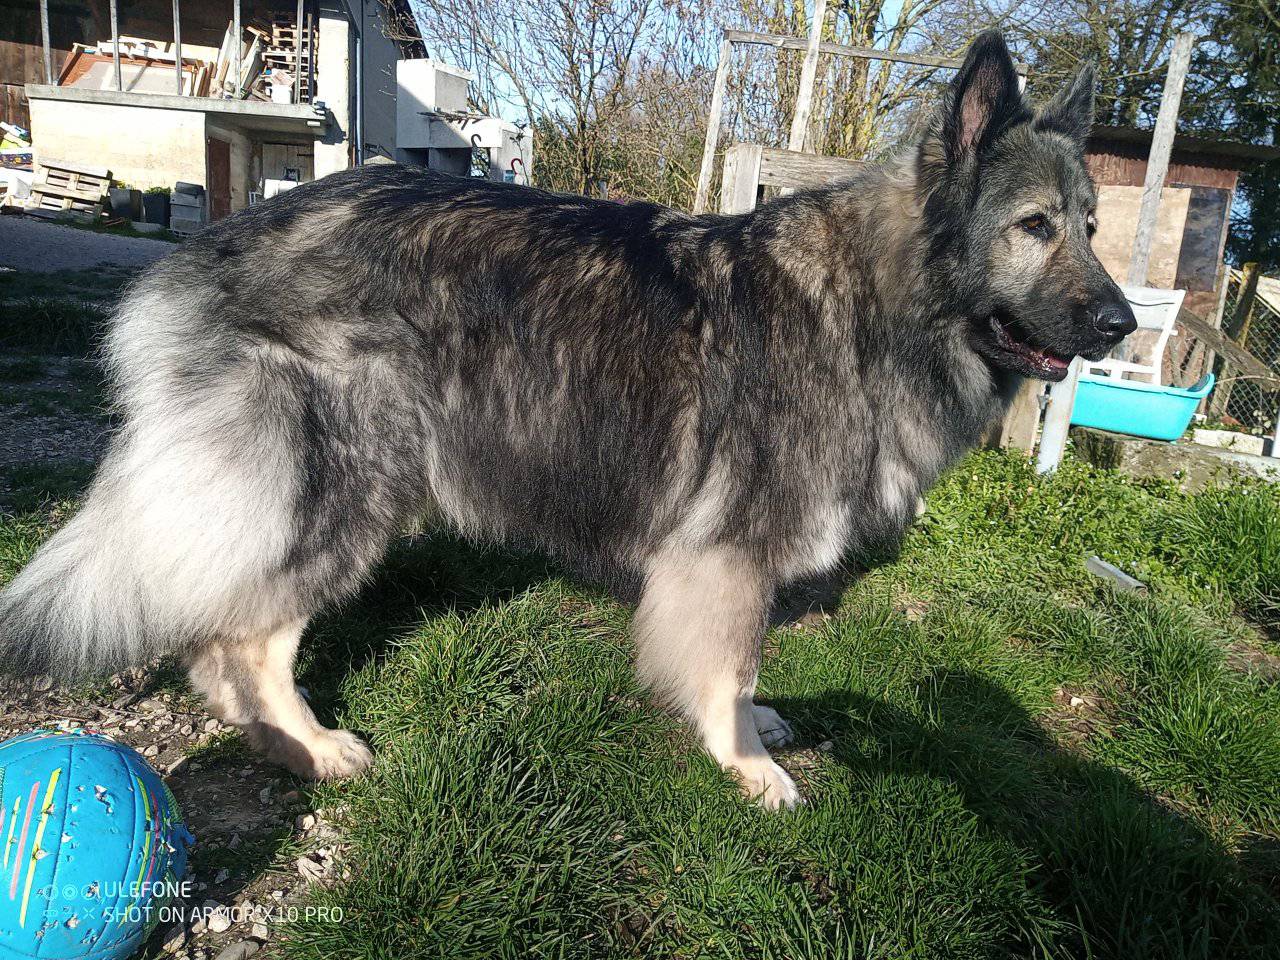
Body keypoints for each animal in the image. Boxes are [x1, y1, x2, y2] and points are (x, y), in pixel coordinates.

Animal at [0, 32, 1134, 807]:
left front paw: (758, 724)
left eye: (1088, 225)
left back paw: (270, 742)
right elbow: (728, 666)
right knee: (249, 637)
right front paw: (746, 760)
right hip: (341, 496)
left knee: (217, 639)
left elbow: (744, 666)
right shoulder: (729, 553)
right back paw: (312, 744)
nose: (1122, 324)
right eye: (1034, 228)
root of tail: (204, 253)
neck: (874, 305)